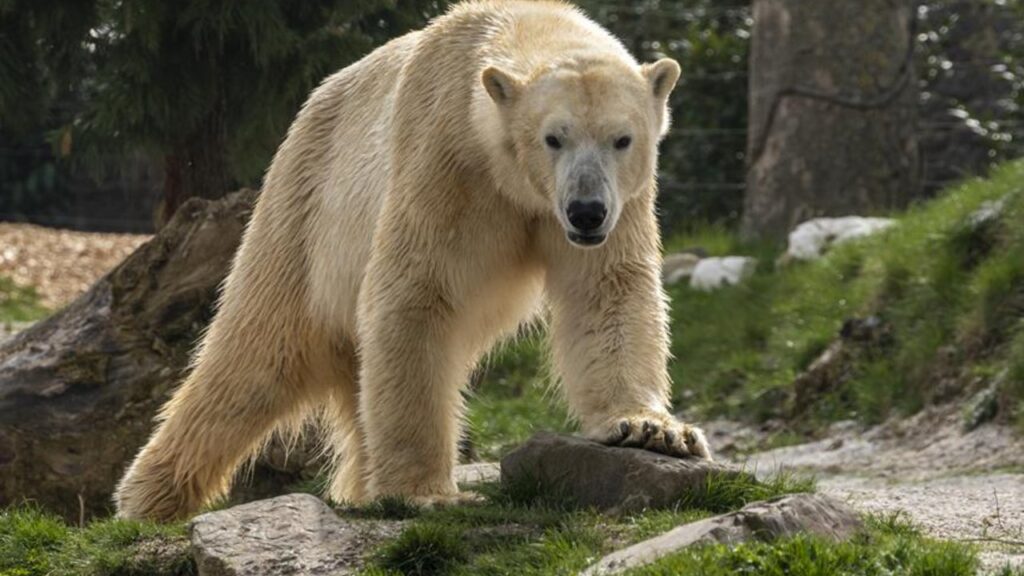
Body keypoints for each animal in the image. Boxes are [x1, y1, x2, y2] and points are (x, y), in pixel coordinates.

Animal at [115, 0, 712, 521]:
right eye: (553, 138)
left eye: (622, 138)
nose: (586, 211)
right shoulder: (444, 162)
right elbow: (414, 297)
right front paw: (423, 492)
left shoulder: (624, 202)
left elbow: (607, 290)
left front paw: (652, 429)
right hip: (302, 211)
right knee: (253, 354)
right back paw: (148, 497)